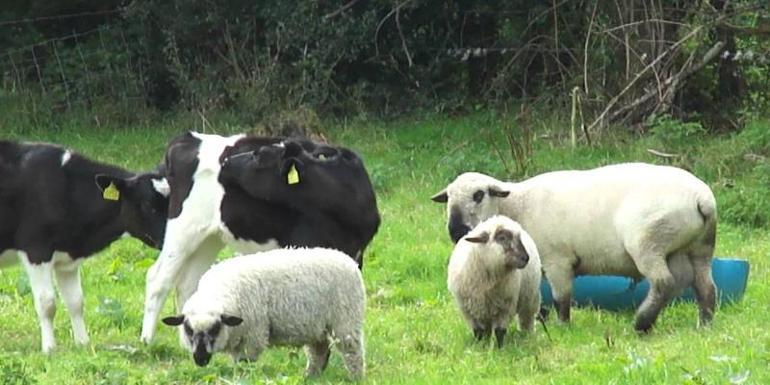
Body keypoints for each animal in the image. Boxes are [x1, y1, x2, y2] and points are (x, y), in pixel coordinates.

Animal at [0, 140, 169, 352]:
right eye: (147, 204)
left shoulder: (67, 259)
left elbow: (76, 301)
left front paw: (82, 343)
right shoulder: (36, 249)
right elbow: (47, 303)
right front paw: (49, 349)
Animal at [140, 132, 378, 342]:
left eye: (260, 155)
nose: (226, 162)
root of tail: (188, 138)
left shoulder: (355, 255)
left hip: (209, 238)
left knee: (187, 283)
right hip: (183, 229)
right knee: (158, 279)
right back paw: (147, 340)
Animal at [160, 246, 364, 378]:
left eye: (215, 329)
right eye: (188, 329)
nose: (200, 359)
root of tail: (349, 261)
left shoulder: (253, 336)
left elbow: (245, 364)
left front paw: (243, 378)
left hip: (346, 320)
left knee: (352, 352)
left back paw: (355, 377)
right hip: (316, 326)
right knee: (319, 351)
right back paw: (310, 377)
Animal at [428, 160, 716, 332]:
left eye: (478, 195)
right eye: (448, 198)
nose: (456, 231)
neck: (516, 205)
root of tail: (702, 198)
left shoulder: (557, 259)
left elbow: (561, 298)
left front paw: (563, 325)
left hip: (648, 243)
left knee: (664, 282)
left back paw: (641, 323)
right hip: (695, 249)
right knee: (703, 286)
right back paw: (704, 324)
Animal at [444, 214, 540, 346]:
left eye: (518, 238)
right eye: (502, 238)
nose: (526, 258)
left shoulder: (505, 307)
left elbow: (500, 331)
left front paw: (500, 348)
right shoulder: (470, 311)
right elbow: (478, 332)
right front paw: (481, 346)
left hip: (529, 300)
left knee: (527, 320)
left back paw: (527, 336)